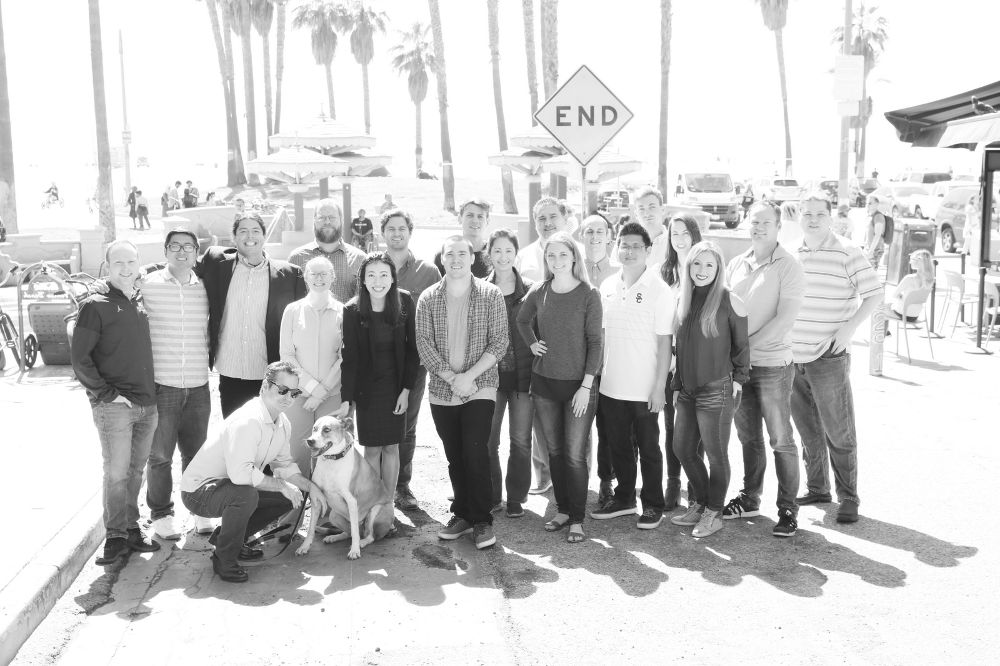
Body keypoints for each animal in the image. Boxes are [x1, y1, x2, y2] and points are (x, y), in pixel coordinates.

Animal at [294, 412, 392, 556]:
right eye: (314, 429)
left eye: (326, 429)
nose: (310, 441)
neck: (331, 461)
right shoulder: (316, 499)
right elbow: (311, 528)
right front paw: (304, 546)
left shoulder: (351, 500)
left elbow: (355, 532)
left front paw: (355, 551)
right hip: (334, 515)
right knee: (349, 533)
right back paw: (334, 537)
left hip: (375, 510)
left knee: (368, 535)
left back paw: (361, 543)